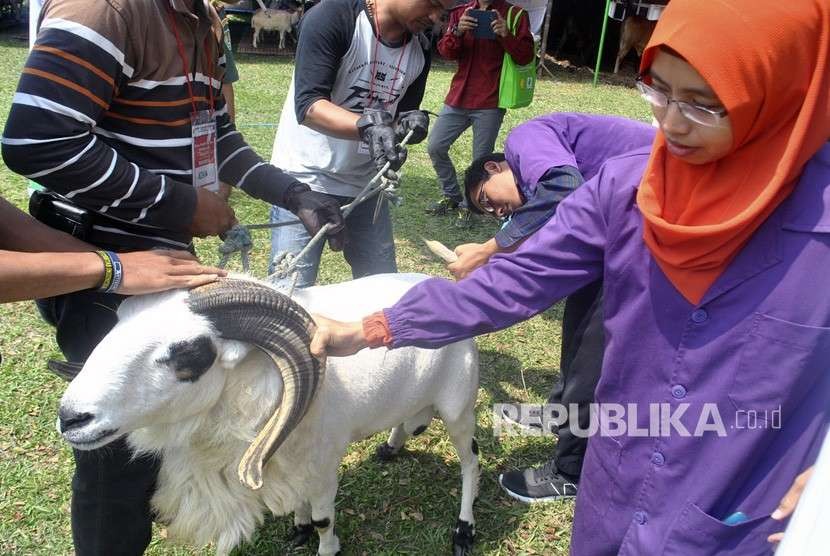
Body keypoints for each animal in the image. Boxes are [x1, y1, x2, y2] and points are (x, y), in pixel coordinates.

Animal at [57, 274, 480, 556]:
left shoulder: (322, 467)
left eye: (188, 351)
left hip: (458, 407)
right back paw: (390, 448)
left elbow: (324, 519)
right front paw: (298, 531)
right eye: (117, 323)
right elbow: (300, 506)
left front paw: (326, 547)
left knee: (470, 462)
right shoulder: (288, 466)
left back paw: (463, 531)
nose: (71, 418)